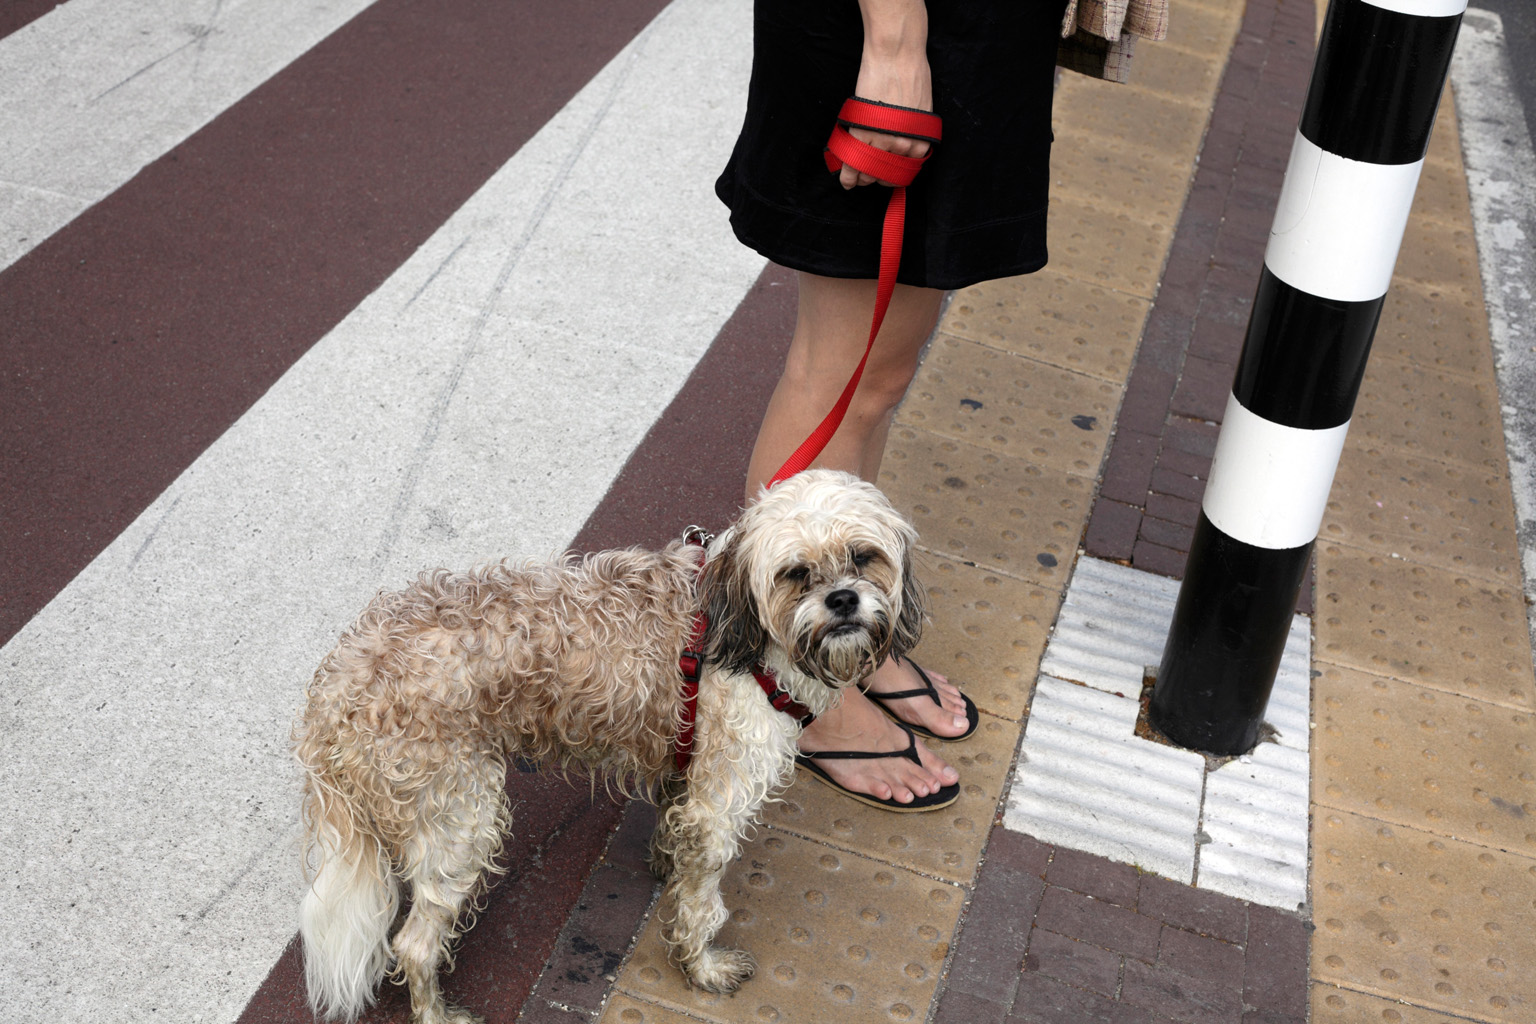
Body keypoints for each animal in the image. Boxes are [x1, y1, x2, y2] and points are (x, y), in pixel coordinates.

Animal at [293, 469, 925, 1024]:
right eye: (795, 572)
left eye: (863, 556)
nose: (842, 600)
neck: (743, 628)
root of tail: (337, 681)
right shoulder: (721, 805)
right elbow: (702, 905)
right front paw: (701, 968)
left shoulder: (688, 771)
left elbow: (674, 833)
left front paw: (664, 865)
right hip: (460, 822)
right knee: (415, 946)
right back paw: (438, 1015)